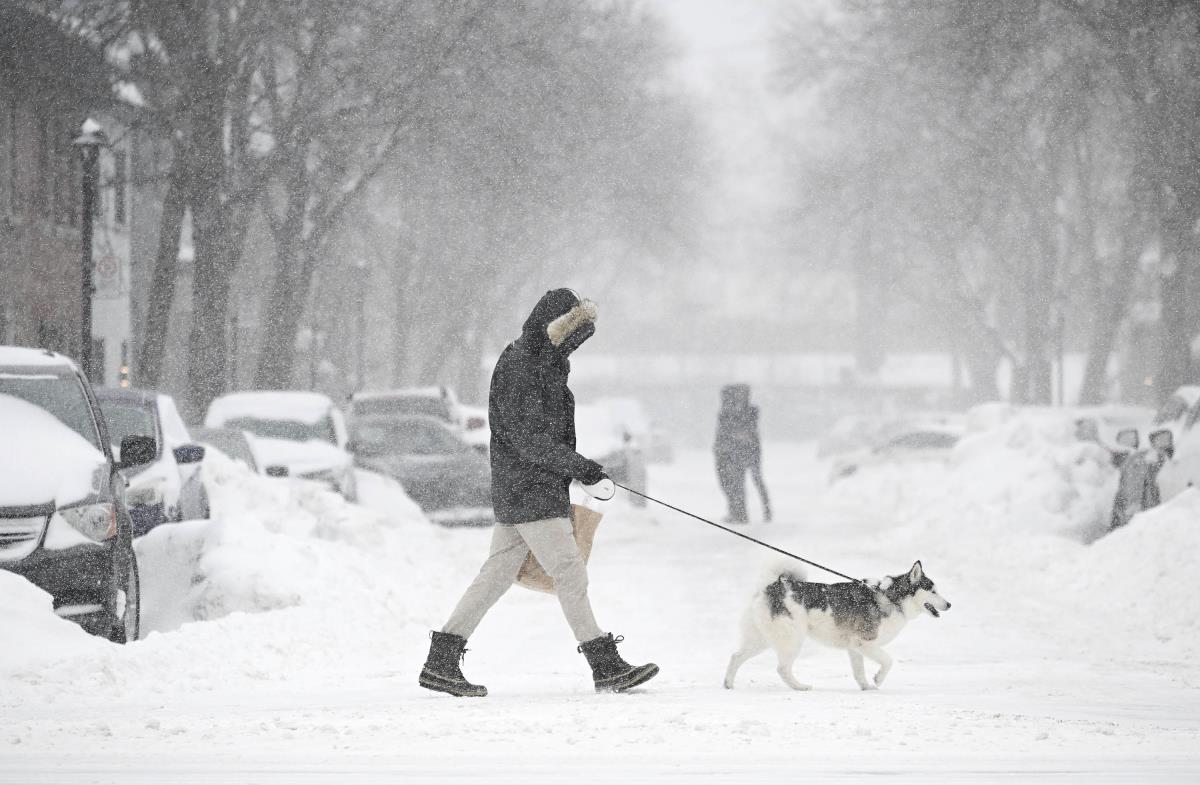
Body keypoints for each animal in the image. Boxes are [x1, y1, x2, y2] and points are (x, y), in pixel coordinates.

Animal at [724, 561, 950, 691]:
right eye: (933, 591)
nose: (949, 604)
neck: (890, 597)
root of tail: (771, 587)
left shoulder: (855, 647)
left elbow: (859, 672)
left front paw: (866, 687)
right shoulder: (865, 643)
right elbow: (888, 661)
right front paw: (877, 680)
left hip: (761, 639)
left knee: (736, 657)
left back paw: (728, 684)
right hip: (792, 639)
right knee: (782, 668)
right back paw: (800, 687)